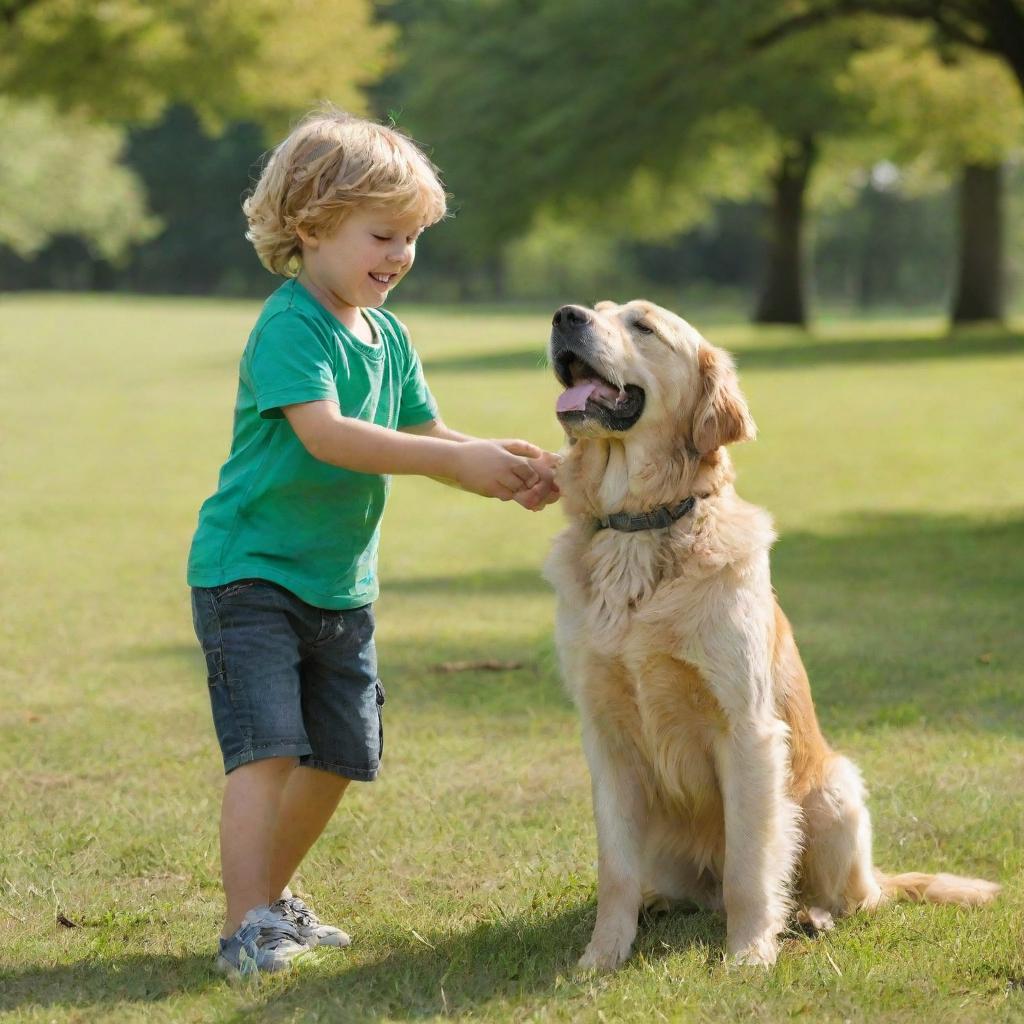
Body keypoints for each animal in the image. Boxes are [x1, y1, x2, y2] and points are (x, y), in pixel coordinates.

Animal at [544, 299, 999, 966]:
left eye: (644, 326)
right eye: (597, 310)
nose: (565, 316)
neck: (639, 529)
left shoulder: (747, 729)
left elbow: (751, 865)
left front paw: (750, 955)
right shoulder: (606, 736)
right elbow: (616, 870)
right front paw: (601, 956)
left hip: (835, 793)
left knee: (851, 897)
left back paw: (812, 914)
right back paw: (660, 904)